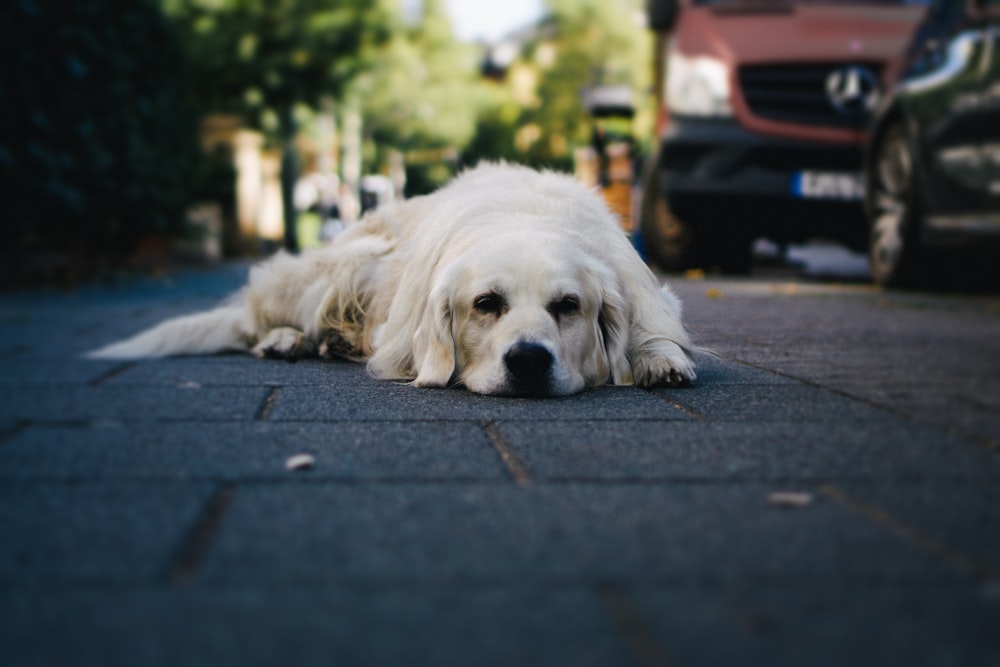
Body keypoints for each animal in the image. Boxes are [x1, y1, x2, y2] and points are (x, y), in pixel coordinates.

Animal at [88, 164, 696, 396]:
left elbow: (654, 327)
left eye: (568, 305)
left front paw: (658, 358)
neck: (526, 216)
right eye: (486, 304)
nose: (528, 361)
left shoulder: (642, 289)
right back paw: (288, 339)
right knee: (260, 318)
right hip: (351, 263)